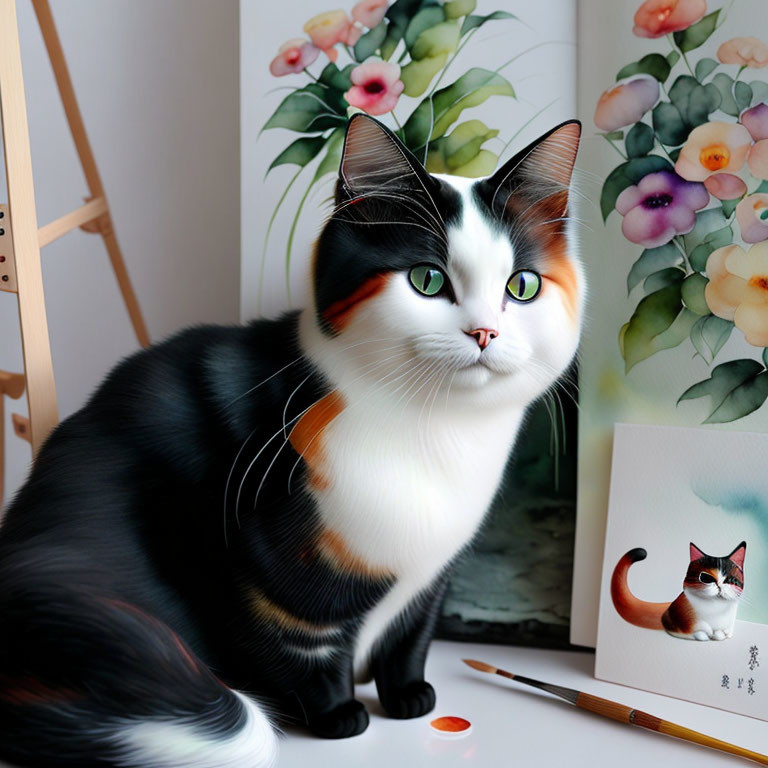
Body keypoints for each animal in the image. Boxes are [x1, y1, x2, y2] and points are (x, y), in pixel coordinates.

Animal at [0, 114, 584, 768]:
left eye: (523, 285)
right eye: (427, 280)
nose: (485, 332)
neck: (438, 433)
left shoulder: (436, 573)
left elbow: (412, 634)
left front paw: (409, 696)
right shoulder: (269, 566)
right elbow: (304, 643)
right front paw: (337, 716)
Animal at [608, 540, 748, 640]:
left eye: (730, 580)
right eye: (706, 578)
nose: (719, 586)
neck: (715, 607)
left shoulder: (729, 623)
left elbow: (724, 631)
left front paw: (719, 634)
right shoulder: (682, 618)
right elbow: (699, 626)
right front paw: (705, 634)